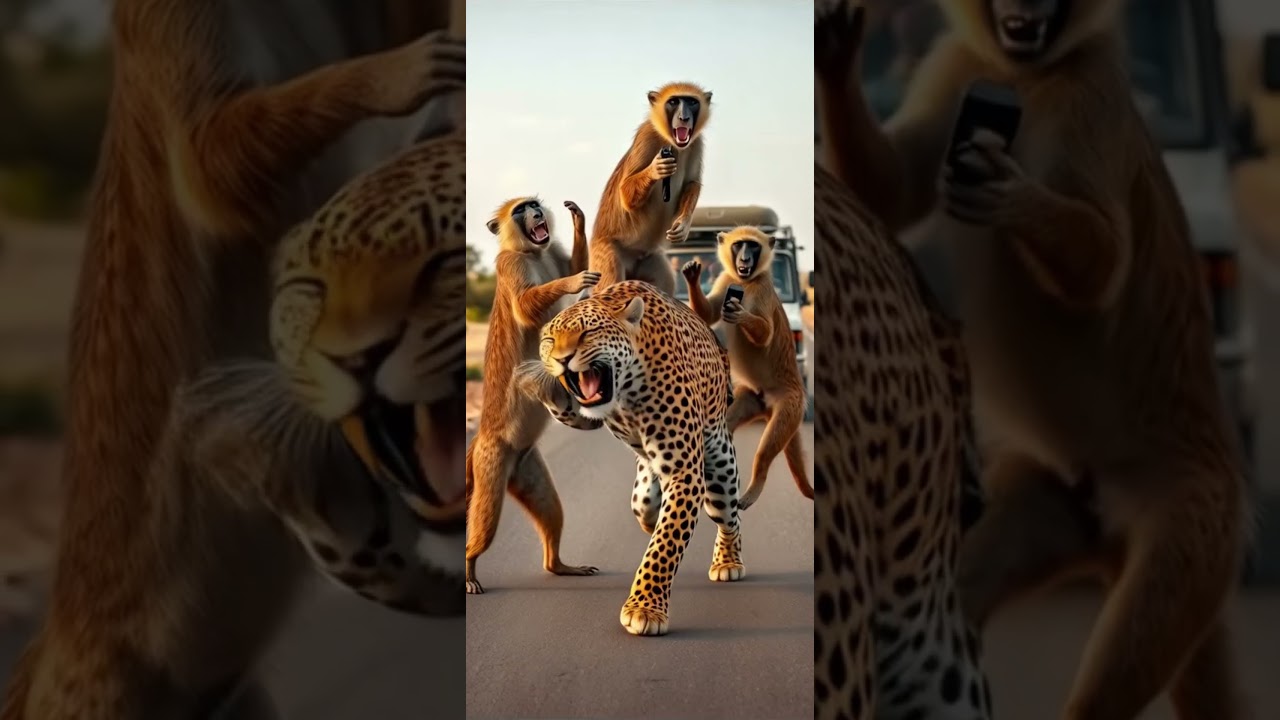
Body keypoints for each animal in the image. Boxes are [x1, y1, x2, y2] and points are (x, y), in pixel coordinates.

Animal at [466, 197, 602, 595]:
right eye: (519, 211)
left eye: (532, 204)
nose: (535, 212)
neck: (530, 251)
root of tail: (480, 438)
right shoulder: (508, 265)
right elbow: (527, 306)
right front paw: (573, 282)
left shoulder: (550, 251)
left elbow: (571, 262)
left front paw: (577, 220)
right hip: (491, 463)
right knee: (484, 522)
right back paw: (469, 569)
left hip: (526, 466)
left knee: (549, 509)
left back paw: (560, 566)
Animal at [514, 280, 745, 637]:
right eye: (550, 340)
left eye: (588, 333)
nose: (562, 359)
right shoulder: (588, 413)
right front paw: (535, 382)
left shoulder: (683, 471)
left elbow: (665, 544)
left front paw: (644, 608)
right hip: (647, 484)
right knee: (645, 505)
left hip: (718, 465)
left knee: (729, 516)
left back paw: (728, 561)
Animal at [589, 82, 712, 295]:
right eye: (673, 102)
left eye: (691, 102)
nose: (684, 117)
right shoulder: (647, 137)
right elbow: (625, 194)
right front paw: (656, 169)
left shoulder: (696, 142)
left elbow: (692, 183)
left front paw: (683, 224)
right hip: (605, 253)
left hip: (649, 260)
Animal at [681, 226, 814, 511]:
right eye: (738, 245)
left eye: (752, 246)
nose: (745, 258)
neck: (746, 281)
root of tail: (766, 402)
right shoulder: (726, 280)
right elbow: (709, 314)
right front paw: (692, 275)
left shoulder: (762, 290)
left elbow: (764, 334)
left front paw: (740, 314)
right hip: (750, 398)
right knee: (723, 428)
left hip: (790, 403)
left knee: (766, 449)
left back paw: (754, 488)